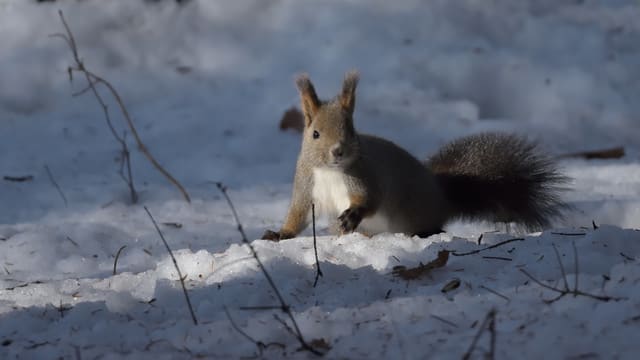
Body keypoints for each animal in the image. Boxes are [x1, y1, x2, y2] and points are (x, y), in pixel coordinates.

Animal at [262, 71, 568, 240]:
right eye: (315, 134)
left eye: (351, 129)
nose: (338, 151)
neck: (330, 171)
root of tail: (442, 198)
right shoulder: (306, 185)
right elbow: (298, 215)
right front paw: (279, 234)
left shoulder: (367, 176)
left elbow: (371, 200)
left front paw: (352, 215)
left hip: (414, 212)